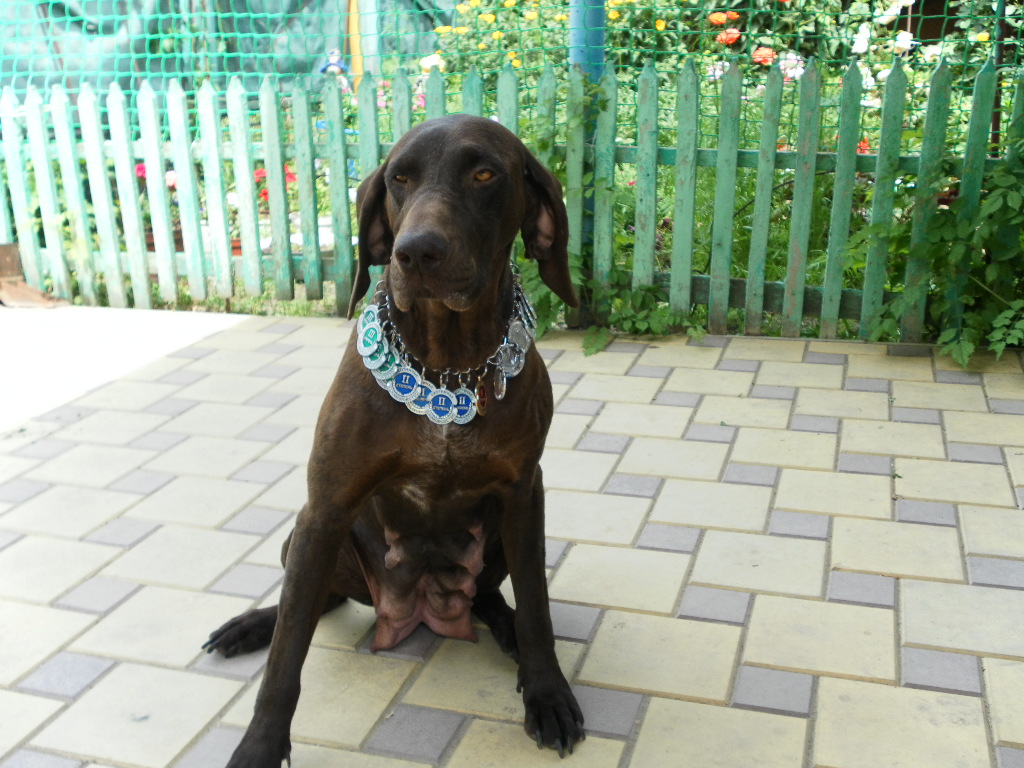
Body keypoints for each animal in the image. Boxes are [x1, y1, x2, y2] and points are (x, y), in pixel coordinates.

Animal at [204, 114, 585, 765]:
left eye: (484, 174)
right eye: (399, 179)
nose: (416, 252)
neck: (446, 365)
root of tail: (422, 609)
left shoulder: (523, 493)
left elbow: (538, 607)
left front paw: (546, 692)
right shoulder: (325, 510)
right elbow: (286, 659)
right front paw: (258, 746)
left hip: (505, 537)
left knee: (491, 596)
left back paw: (503, 627)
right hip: (305, 544)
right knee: (311, 604)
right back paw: (253, 624)